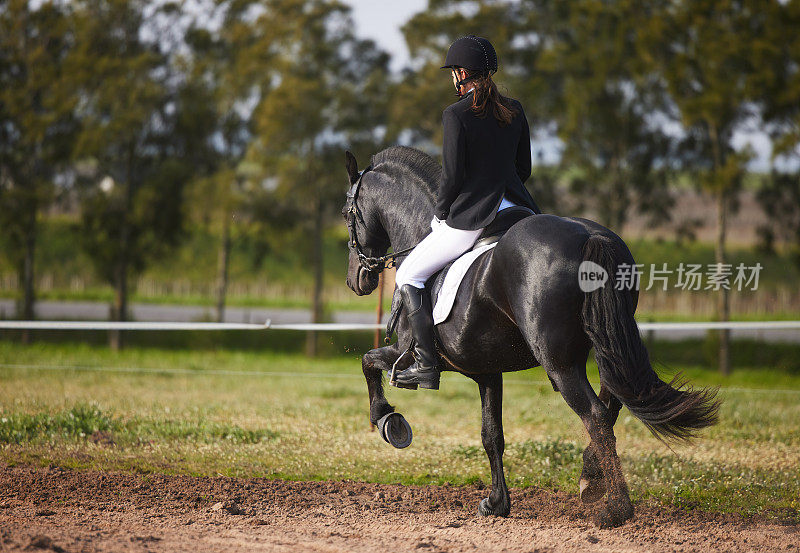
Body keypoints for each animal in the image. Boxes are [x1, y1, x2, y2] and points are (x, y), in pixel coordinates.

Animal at [340, 146, 720, 528]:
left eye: (346, 214)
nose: (355, 280)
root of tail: (590, 237)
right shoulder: (487, 371)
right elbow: (491, 435)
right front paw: (497, 503)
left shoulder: (410, 352)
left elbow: (368, 362)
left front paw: (387, 420)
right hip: (606, 342)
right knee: (616, 397)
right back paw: (591, 480)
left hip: (558, 362)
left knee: (595, 414)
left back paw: (615, 508)